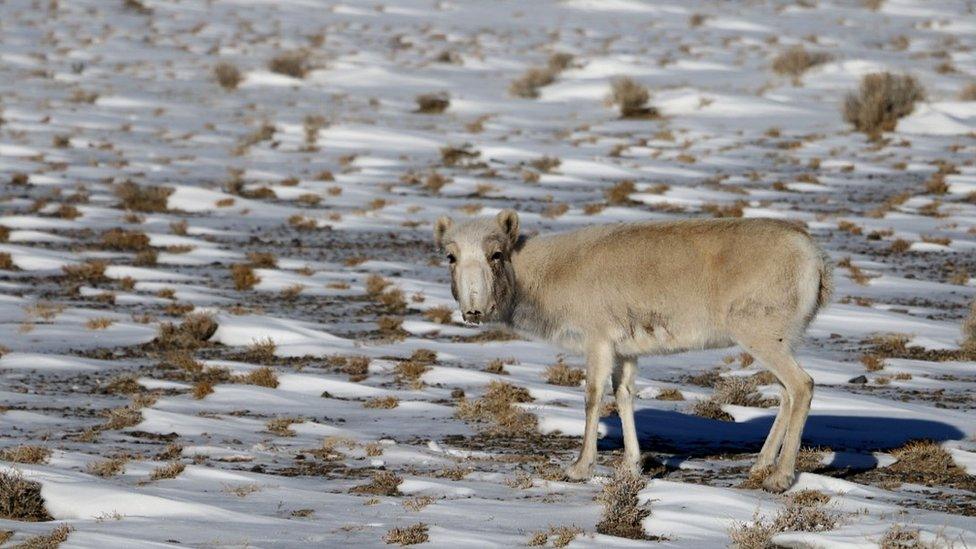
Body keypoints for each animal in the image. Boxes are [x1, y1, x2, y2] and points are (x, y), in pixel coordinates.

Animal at [434, 211, 832, 492]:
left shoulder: (597, 342)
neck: (547, 273)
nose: (473, 310)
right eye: (450, 257)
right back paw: (760, 465)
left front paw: (580, 468)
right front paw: (631, 464)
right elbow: (623, 396)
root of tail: (813, 257)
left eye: (496, 253)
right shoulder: (624, 353)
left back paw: (780, 477)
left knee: (802, 386)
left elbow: (593, 397)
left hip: (761, 337)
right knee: (785, 393)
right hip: (779, 341)